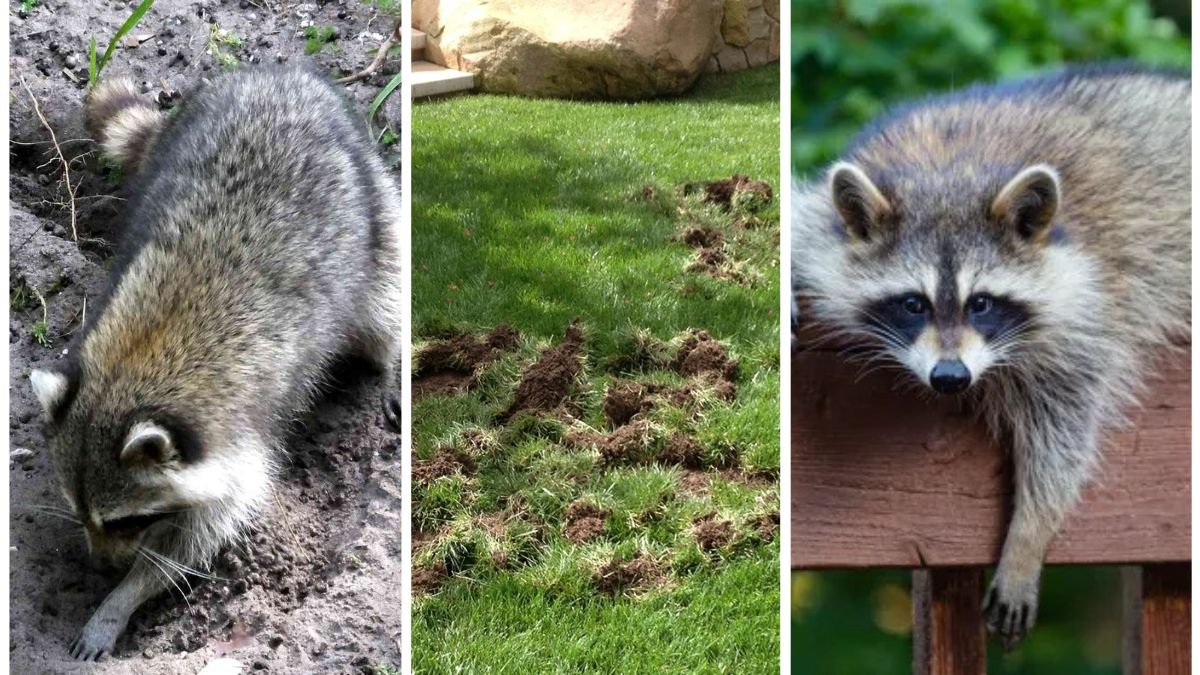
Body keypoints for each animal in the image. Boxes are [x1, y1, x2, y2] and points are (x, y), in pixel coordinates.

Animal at [28, 65, 403, 660]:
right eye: (79, 510)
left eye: (129, 519)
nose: (102, 566)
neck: (136, 364)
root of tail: (280, 76)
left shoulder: (239, 444)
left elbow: (199, 537)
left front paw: (125, 597)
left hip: (374, 202)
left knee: (383, 301)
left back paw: (389, 358)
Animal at [791, 64, 1190, 648]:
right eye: (913, 304)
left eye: (981, 304)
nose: (950, 377)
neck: (950, 170)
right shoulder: (829, 214)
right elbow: (802, 226)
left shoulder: (1088, 310)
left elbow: (1065, 428)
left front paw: (1030, 532)